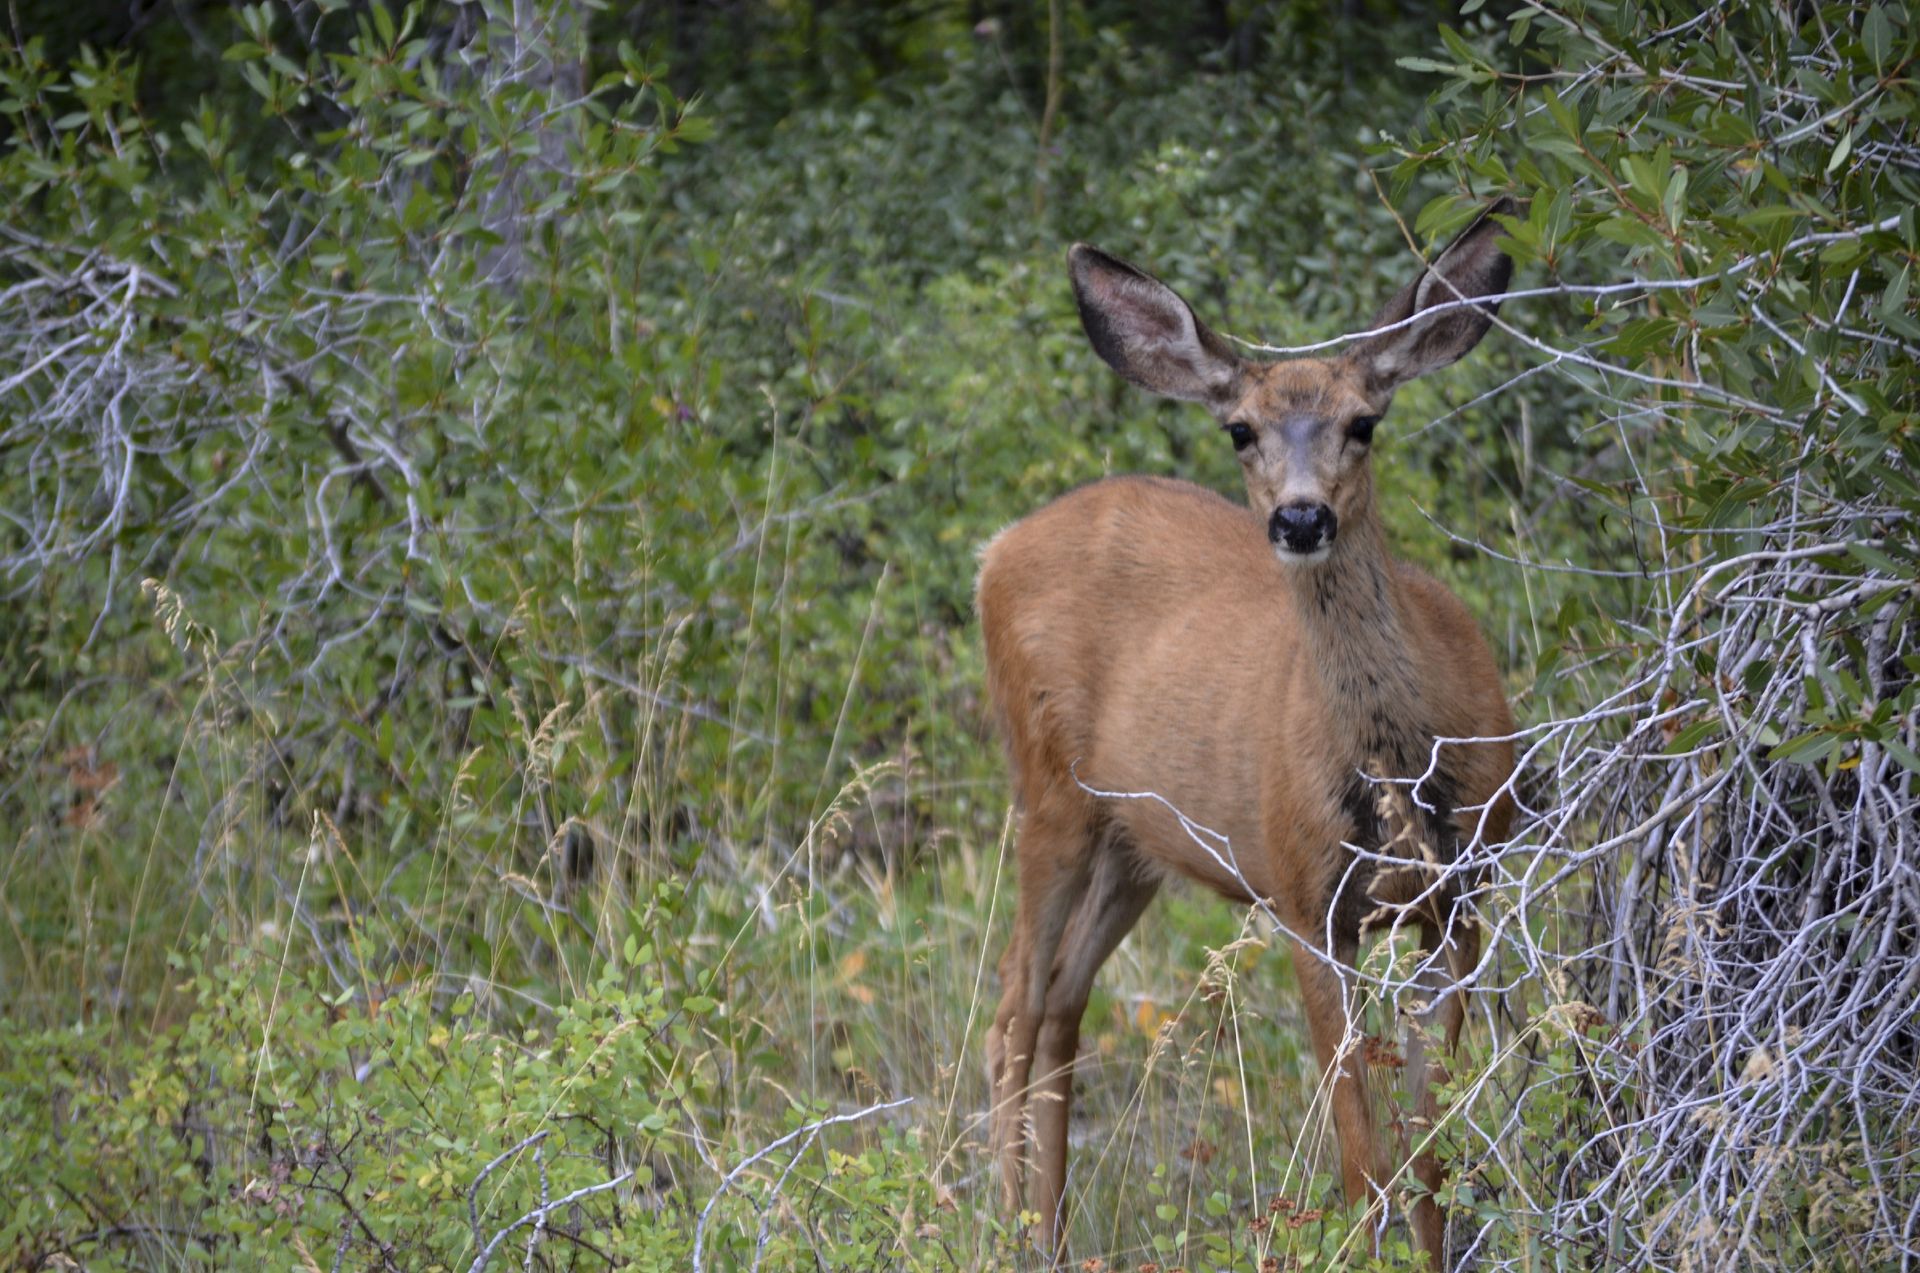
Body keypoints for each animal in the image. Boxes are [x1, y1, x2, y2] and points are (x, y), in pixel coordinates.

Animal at [976, 200, 1519, 1268]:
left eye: (1364, 422)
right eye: (1240, 430)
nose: (1301, 517)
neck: (1402, 763)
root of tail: (995, 548)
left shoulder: (1463, 895)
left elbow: (1431, 1150)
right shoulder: (1305, 897)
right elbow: (1363, 1160)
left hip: (1134, 840)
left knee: (1059, 998)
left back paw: (1051, 1230)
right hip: (1047, 787)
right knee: (1014, 998)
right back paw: (1007, 1225)